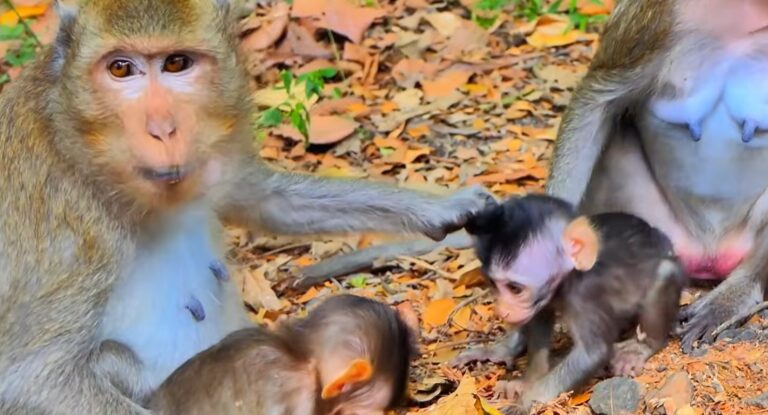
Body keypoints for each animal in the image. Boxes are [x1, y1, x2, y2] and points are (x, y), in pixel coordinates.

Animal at [456, 194, 685, 410]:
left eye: (515, 289)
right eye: (493, 284)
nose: (502, 310)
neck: (571, 276)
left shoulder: (585, 294)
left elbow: (591, 354)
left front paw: (526, 401)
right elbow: (539, 320)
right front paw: (528, 381)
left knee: (664, 272)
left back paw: (641, 347)